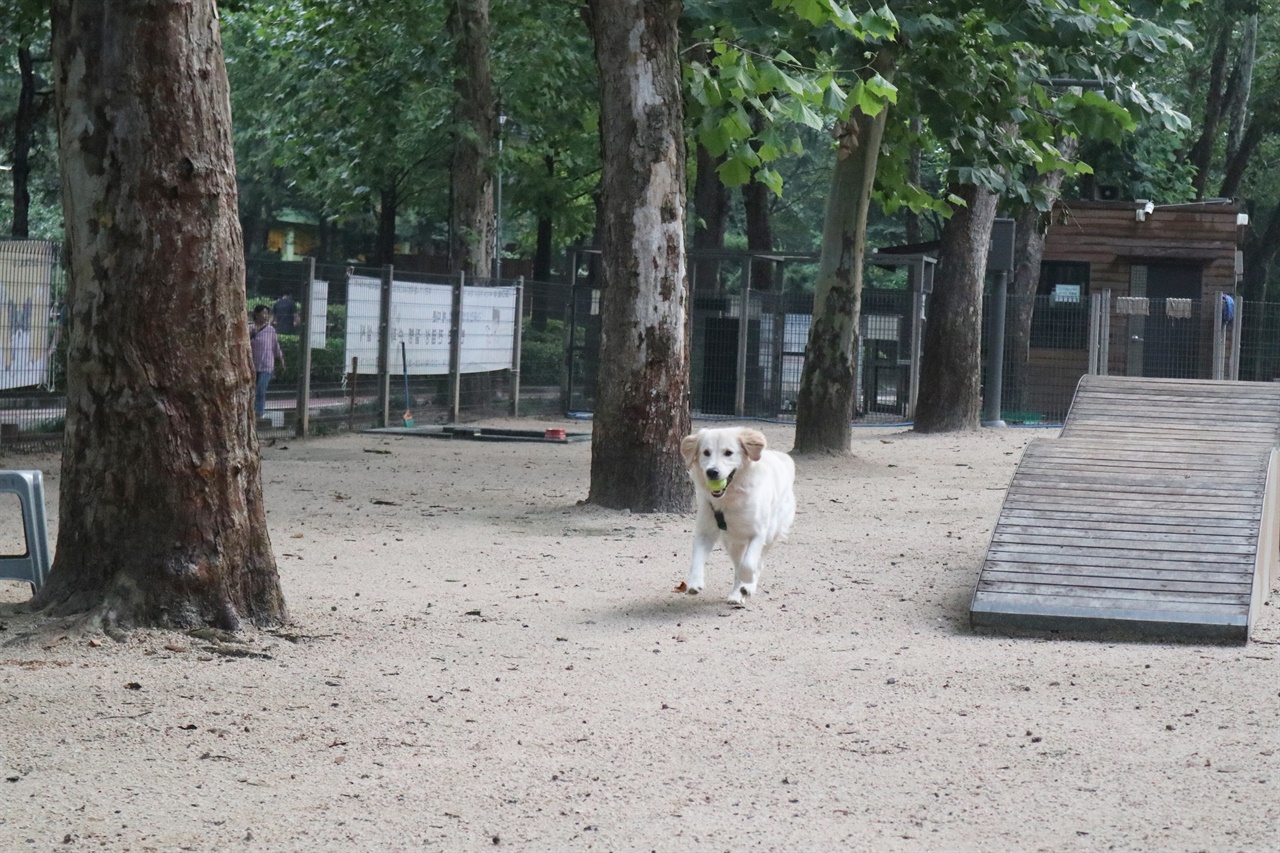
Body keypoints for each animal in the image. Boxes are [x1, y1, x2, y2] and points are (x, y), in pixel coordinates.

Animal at [675, 422, 793, 596]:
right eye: (706, 452)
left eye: (728, 453)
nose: (712, 472)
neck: (729, 500)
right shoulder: (705, 532)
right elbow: (697, 559)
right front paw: (695, 582)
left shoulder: (758, 533)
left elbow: (749, 564)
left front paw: (749, 581)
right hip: (733, 543)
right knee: (738, 565)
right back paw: (736, 594)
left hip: (771, 533)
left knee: (757, 562)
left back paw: (747, 587)